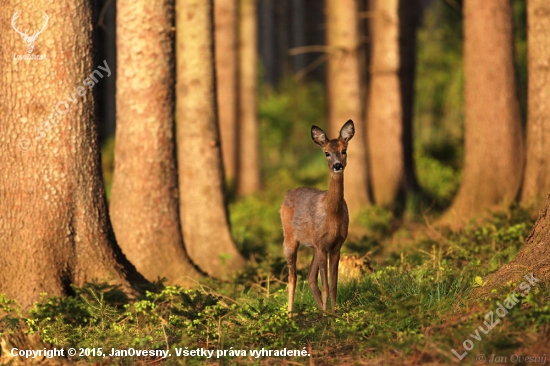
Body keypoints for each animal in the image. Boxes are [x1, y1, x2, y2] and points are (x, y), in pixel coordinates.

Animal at [282, 119, 356, 314]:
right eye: (327, 153)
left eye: (344, 150)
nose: (337, 165)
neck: (332, 214)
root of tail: (288, 193)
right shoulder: (322, 244)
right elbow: (326, 285)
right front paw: (328, 316)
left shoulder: (336, 244)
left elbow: (334, 285)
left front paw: (334, 314)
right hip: (289, 238)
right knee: (292, 278)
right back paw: (290, 315)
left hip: (314, 246)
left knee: (310, 277)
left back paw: (322, 310)